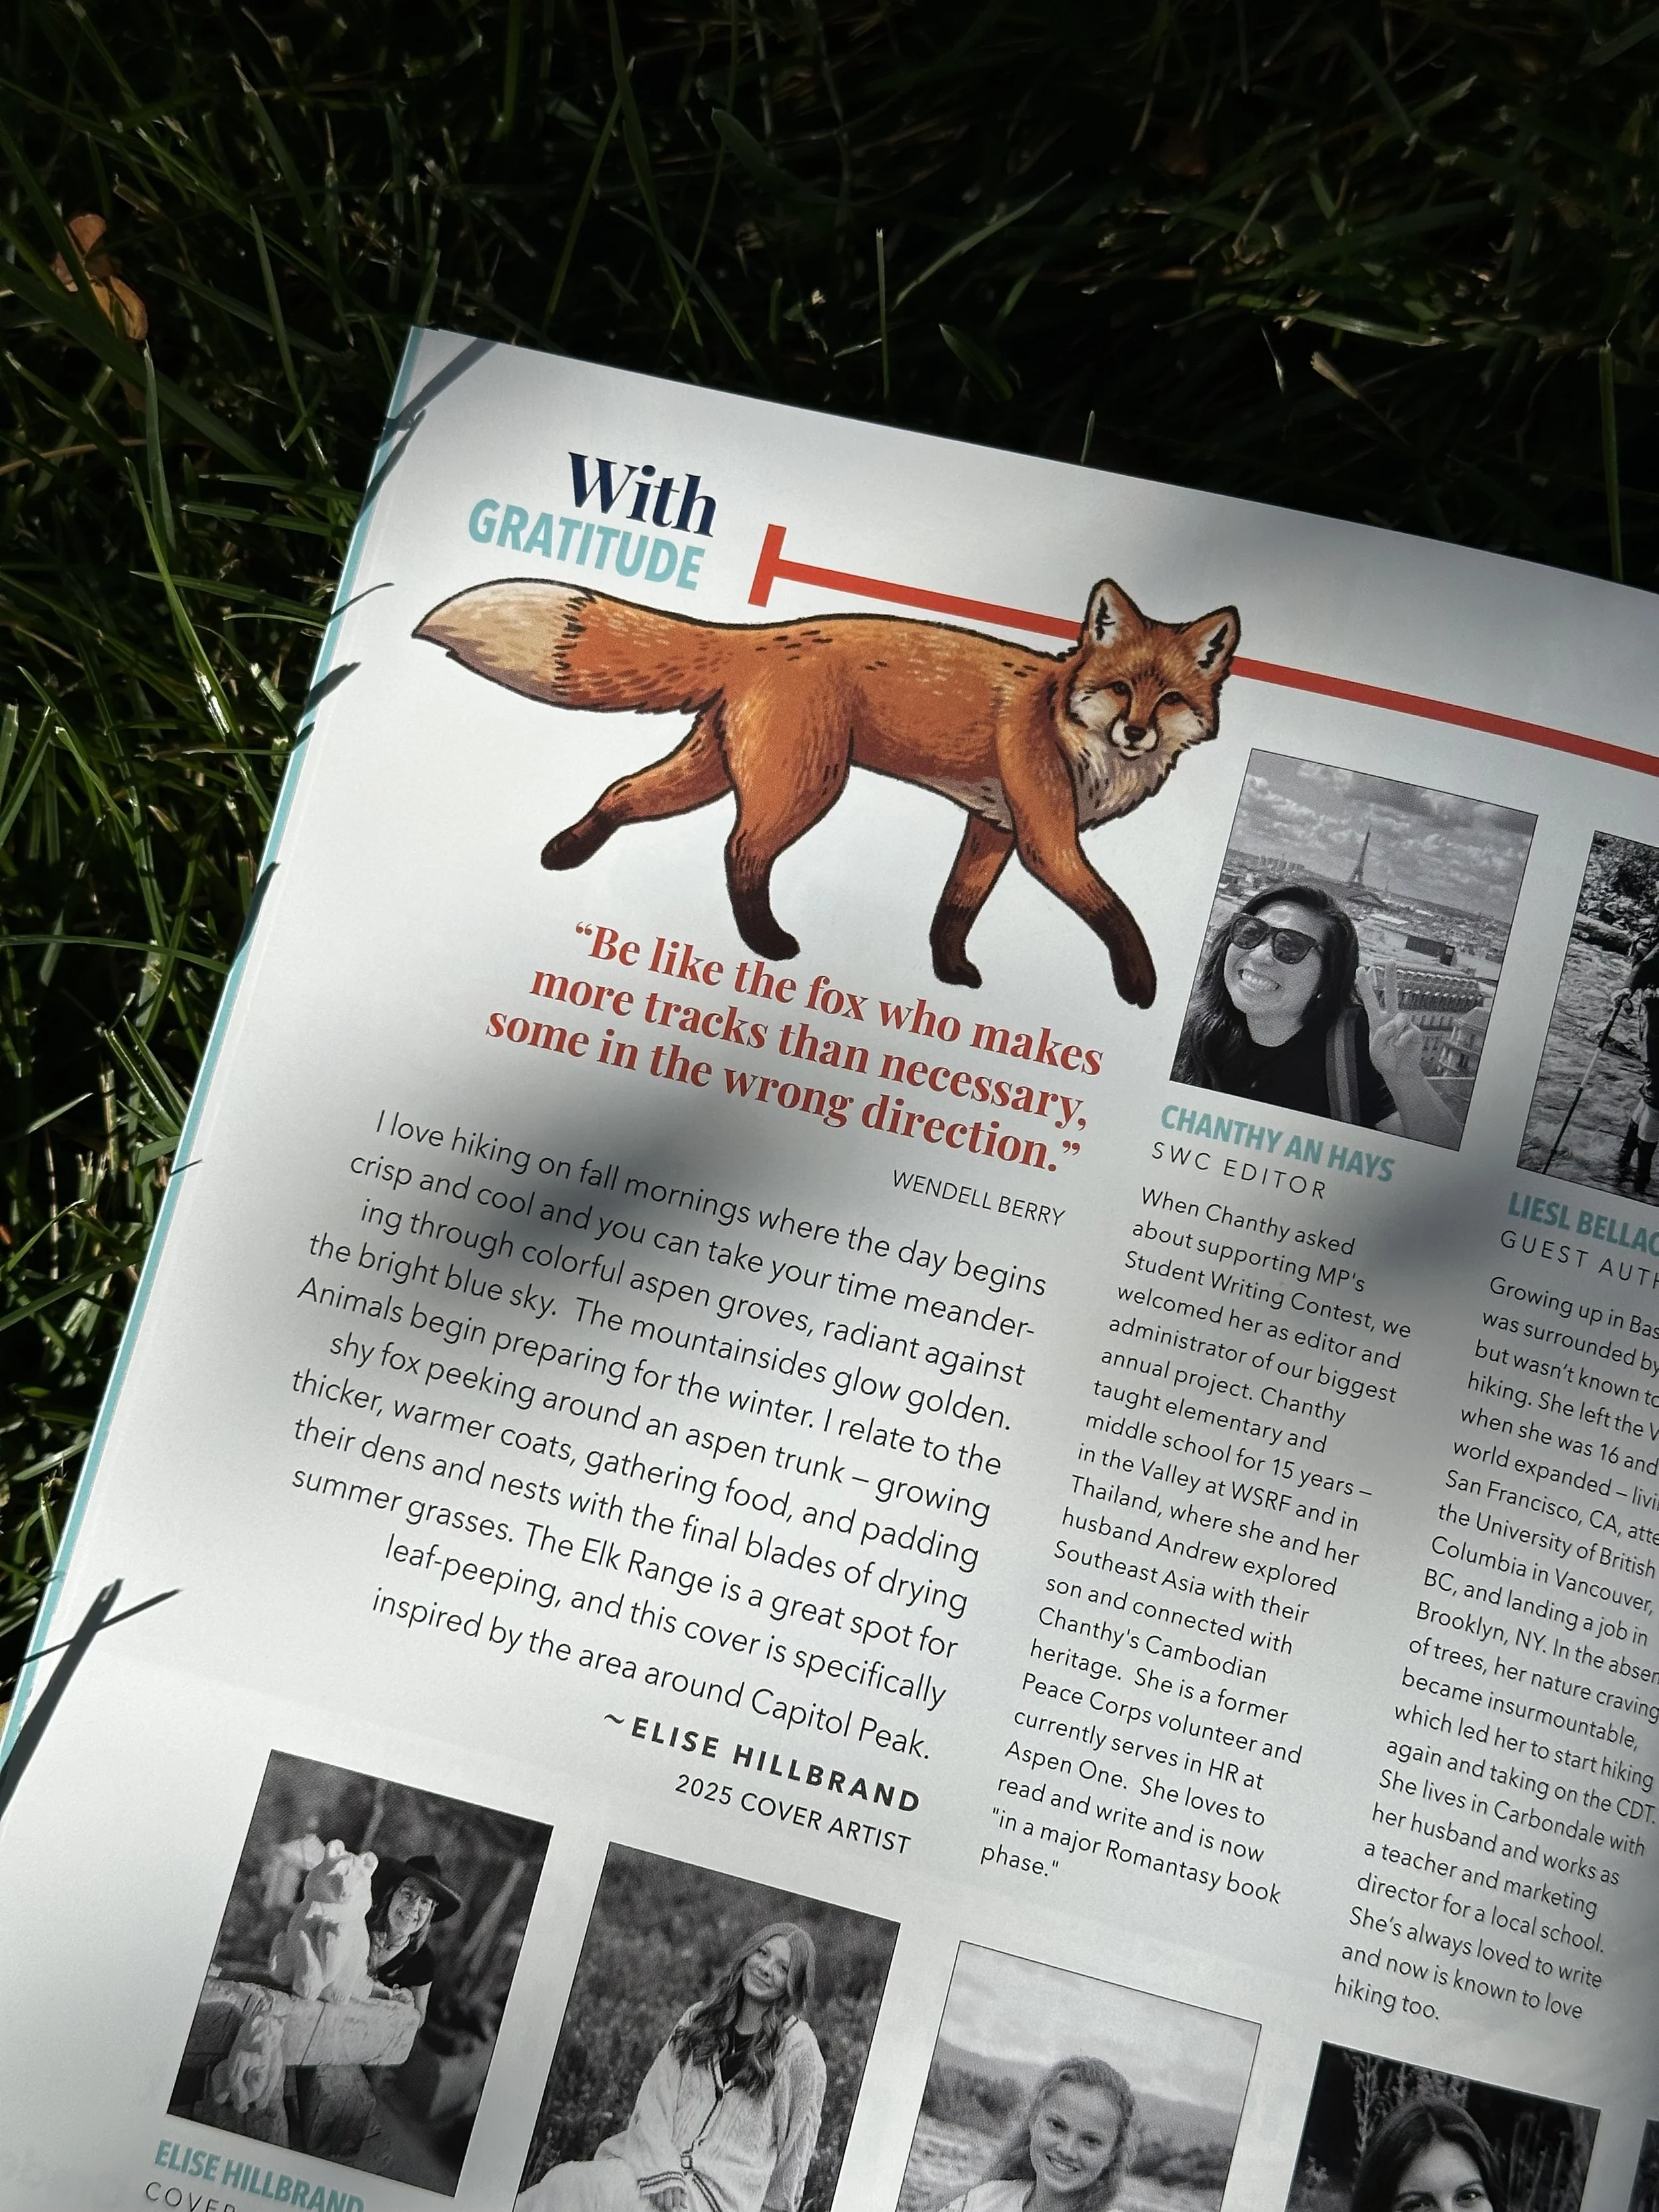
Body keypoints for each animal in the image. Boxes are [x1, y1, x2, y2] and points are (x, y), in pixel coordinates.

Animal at [414, 575, 1240, 1007]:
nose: (1135, 732)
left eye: (1170, 699)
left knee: (622, 790)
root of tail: (757, 634)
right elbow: (1114, 912)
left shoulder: (994, 825)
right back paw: (765, 942)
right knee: (740, 851)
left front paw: (949, 972)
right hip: (804, 787)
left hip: (707, 771)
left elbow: (954, 908)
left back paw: (563, 853)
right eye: (1122, 689)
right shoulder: (1044, 838)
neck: (1065, 718)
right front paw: (1142, 986)